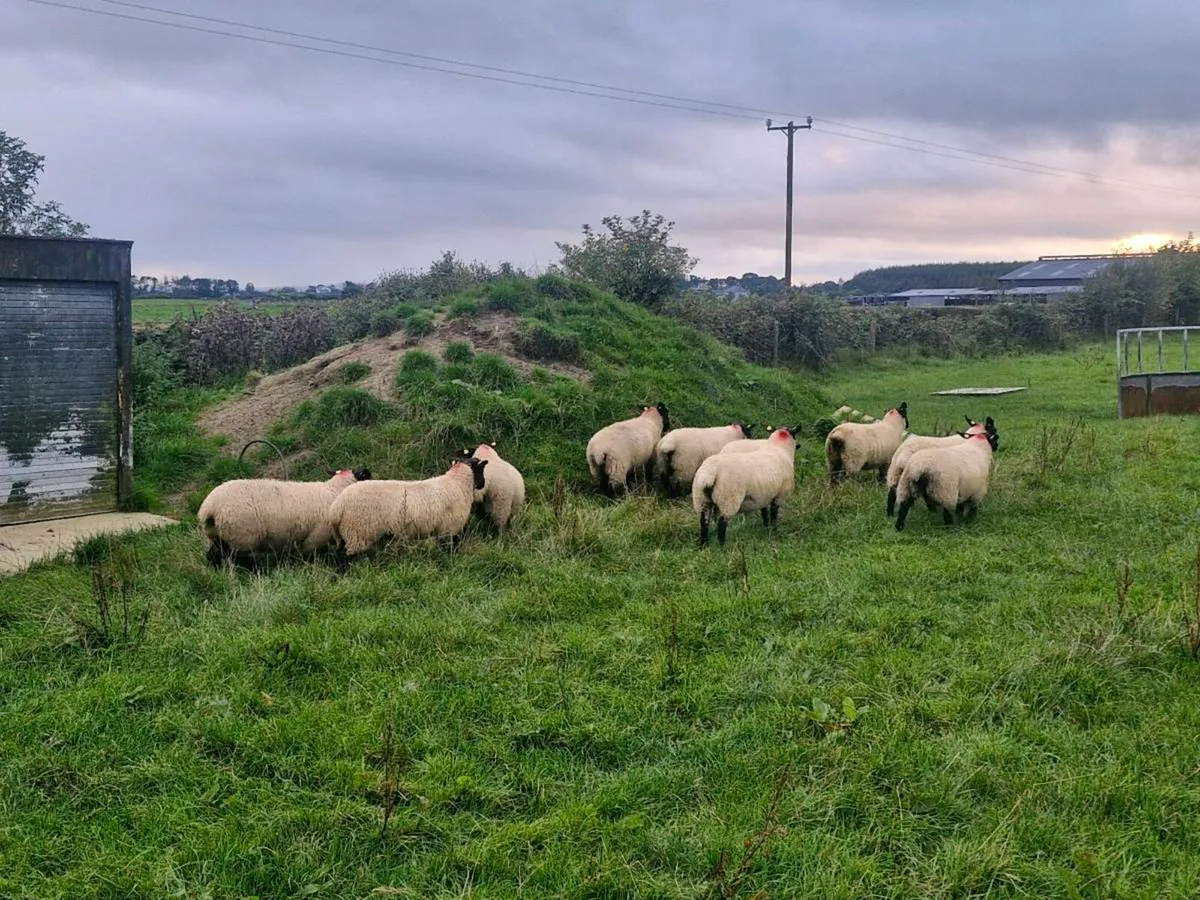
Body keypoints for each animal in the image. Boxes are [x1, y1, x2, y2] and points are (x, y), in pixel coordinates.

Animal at [198, 467, 371, 568]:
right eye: (365, 475)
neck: (335, 490)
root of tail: (209, 508)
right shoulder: (316, 537)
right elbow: (311, 554)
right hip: (241, 537)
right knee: (240, 560)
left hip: (218, 538)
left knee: (213, 556)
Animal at [329, 457, 488, 566]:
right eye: (481, 468)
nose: (482, 484)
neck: (458, 483)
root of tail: (338, 507)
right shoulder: (450, 529)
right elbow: (451, 549)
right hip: (358, 532)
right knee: (345, 557)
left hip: (346, 534)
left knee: (339, 554)